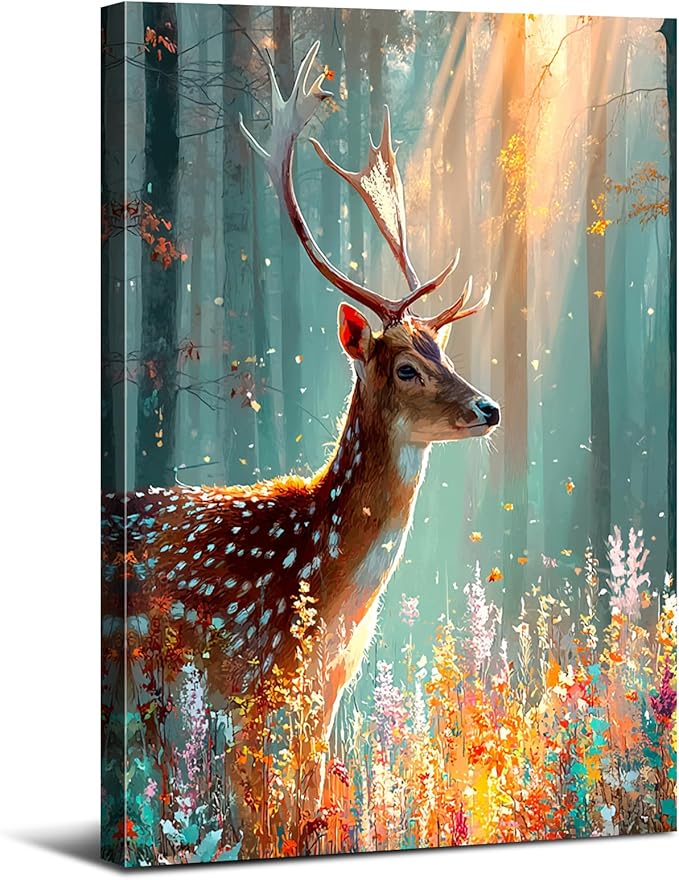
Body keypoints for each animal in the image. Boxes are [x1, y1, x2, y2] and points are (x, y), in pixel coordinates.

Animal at [103, 42, 500, 844]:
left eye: (444, 350)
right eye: (406, 366)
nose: (489, 407)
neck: (334, 596)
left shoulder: (327, 689)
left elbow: (310, 804)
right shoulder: (248, 674)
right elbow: (256, 815)